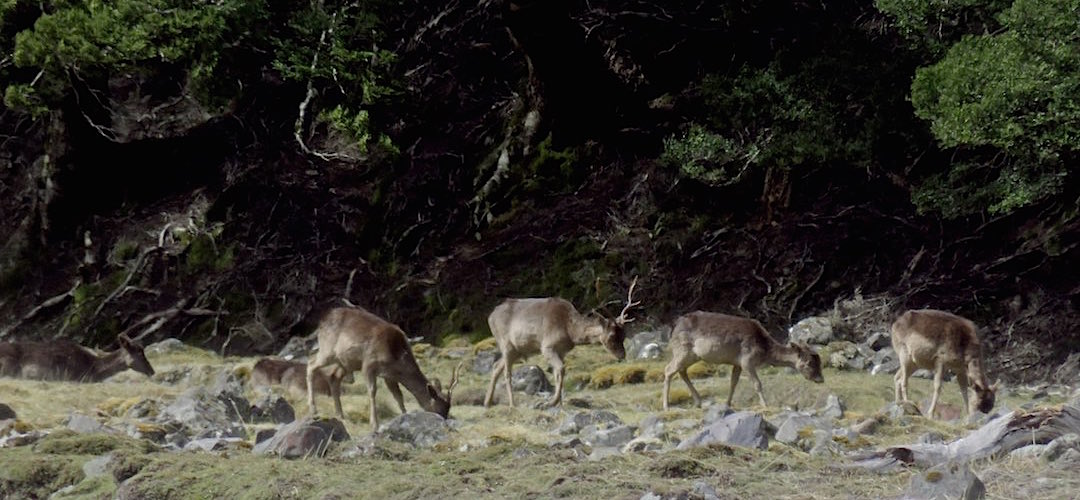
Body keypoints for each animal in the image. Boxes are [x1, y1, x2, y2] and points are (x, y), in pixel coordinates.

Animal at [305, 306, 460, 431]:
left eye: (448, 407)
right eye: (439, 409)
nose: (445, 420)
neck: (396, 356)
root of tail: (322, 320)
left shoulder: (389, 375)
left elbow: (398, 395)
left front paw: (405, 416)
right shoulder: (368, 364)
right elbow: (372, 391)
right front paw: (375, 424)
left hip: (346, 362)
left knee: (333, 377)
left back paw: (340, 415)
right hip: (327, 350)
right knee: (310, 364)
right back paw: (313, 409)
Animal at [483, 277, 640, 408]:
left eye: (624, 335)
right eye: (611, 336)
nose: (622, 355)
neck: (569, 330)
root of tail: (490, 316)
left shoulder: (562, 351)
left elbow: (558, 373)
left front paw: (559, 403)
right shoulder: (547, 346)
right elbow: (561, 369)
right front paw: (551, 402)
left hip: (517, 350)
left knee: (496, 367)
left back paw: (487, 402)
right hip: (505, 343)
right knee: (507, 373)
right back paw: (512, 404)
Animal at [662, 311, 824, 411]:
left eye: (819, 362)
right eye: (809, 363)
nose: (820, 379)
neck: (764, 351)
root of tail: (674, 326)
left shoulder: (737, 363)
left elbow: (733, 383)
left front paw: (728, 404)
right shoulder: (747, 361)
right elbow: (757, 384)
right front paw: (765, 405)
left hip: (692, 355)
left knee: (681, 371)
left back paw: (698, 401)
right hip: (683, 350)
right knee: (669, 369)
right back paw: (666, 406)